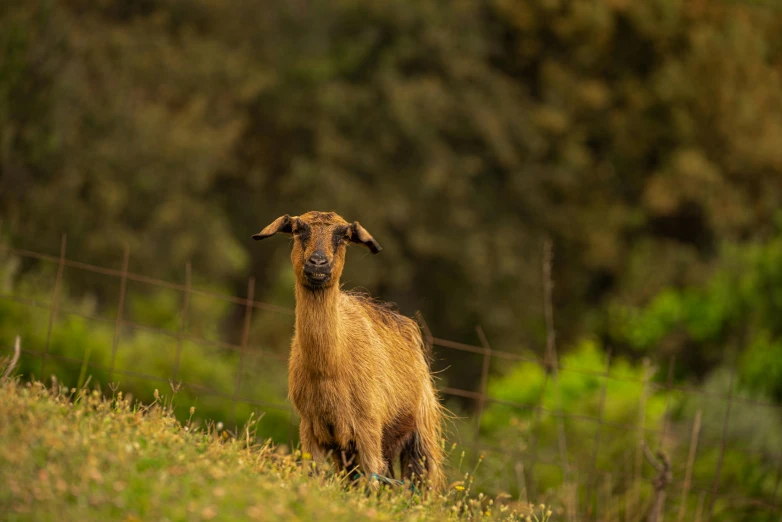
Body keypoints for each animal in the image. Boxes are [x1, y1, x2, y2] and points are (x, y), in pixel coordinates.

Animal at [254, 210, 444, 488]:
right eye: (298, 230)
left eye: (343, 236)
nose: (318, 264)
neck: (330, 370)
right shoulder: (311, 429)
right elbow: (314, 476)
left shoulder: (368, 429)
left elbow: (372, 481)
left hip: (420, 434)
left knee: (418, 483)